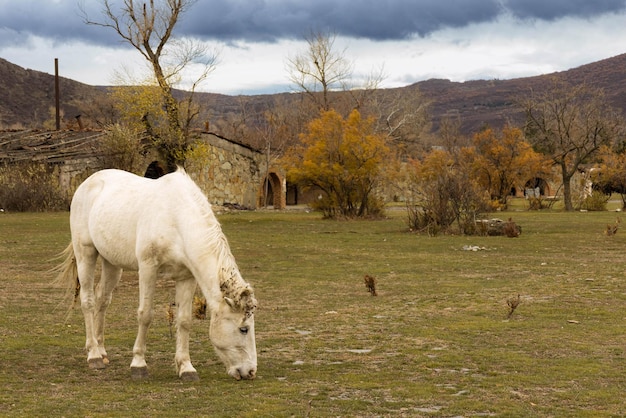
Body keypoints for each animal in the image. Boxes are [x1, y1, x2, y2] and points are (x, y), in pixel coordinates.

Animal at [55, 168, 256, 380]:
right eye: (244, 329)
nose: (250, 371)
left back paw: (101, 351)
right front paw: (138, 364)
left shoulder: (186, 277)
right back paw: (93, 355)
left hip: (112, 263)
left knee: (102, 299)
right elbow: (145, 315)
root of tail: (88, 182)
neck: (177, 219)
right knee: (88, 301)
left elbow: (184, 320)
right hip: (85, 254)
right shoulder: (147, 269)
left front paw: (186, 367)